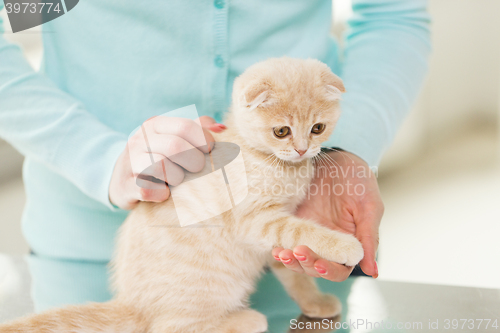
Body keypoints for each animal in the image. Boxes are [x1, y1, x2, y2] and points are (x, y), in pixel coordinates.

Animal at [1, 57, 366, 332]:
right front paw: (346, 246)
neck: (270, 161)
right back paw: (245, 319)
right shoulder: (257, 220)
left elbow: (293, 273)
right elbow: (303, 231)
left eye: (318, 128)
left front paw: (315, 301)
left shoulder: (276, 234)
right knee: (170, 327)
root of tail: (133, 305)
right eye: (281, 131)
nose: (303, 150)